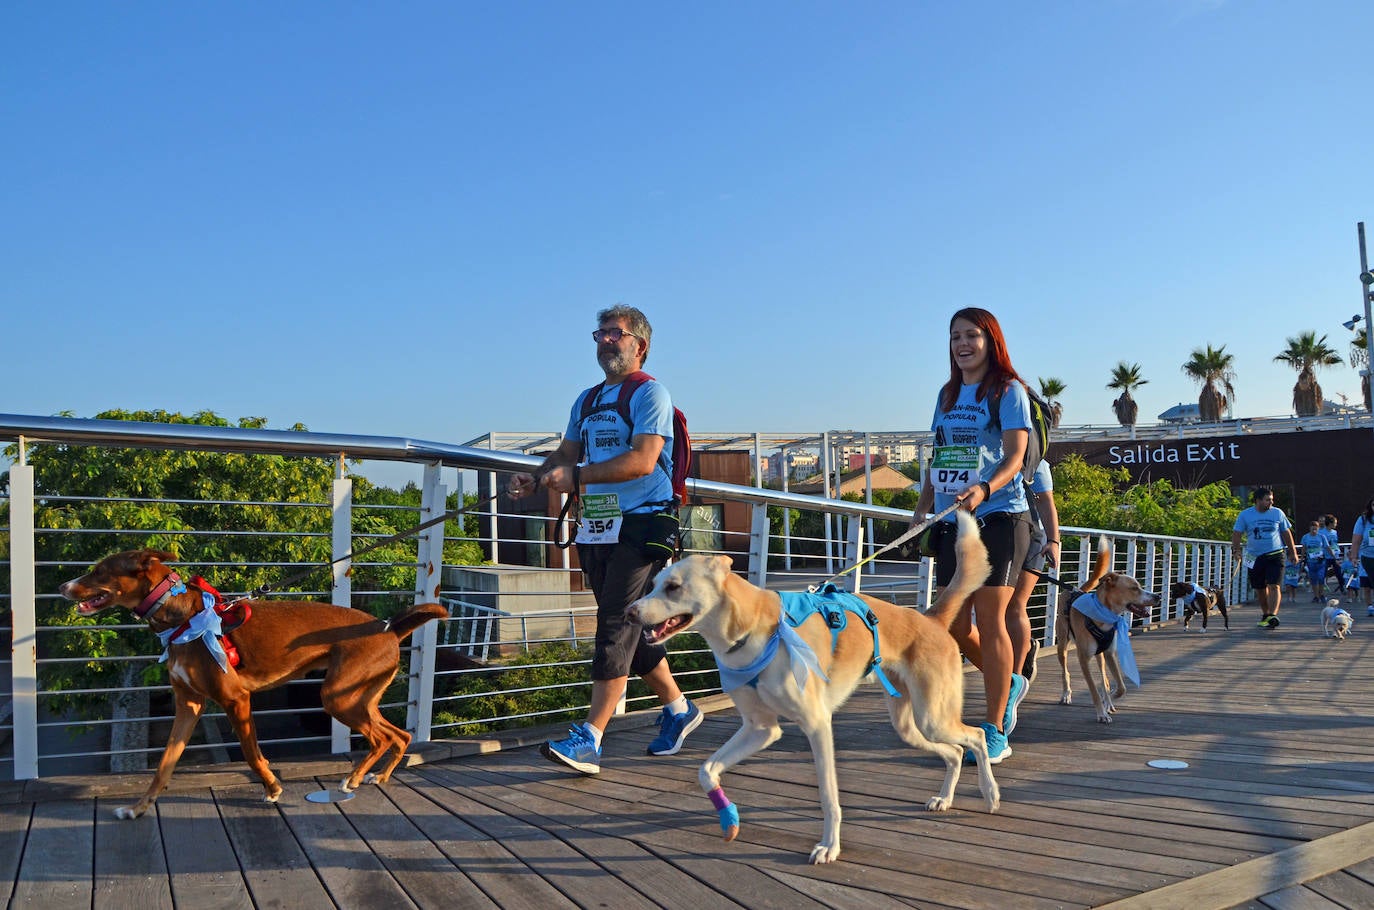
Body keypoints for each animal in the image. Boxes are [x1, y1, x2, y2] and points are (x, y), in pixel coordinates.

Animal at [59, 552, 445, 824]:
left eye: (99, 571)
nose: (63, 586)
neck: (181, 616)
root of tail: (390, 629)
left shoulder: (237, 700)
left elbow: (249, 752)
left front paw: (272, 787)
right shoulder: (188, 705)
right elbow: (165, 764)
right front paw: (137, 808)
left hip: (337, 697)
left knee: (380, 738)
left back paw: (353, 778)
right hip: (358, 698)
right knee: (399, 735)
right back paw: (377, 777)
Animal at [626, 508, 1000, 868]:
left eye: (673, 586)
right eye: (654, 584)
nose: (629, 612)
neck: (752, 630)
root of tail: (930, 617)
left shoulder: (817, 725)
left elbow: (828, 796)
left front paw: (829, 847)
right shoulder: (761, 729)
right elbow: (706, 770)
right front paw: (728, 816)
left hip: (932, 717)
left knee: (977, 736)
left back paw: (991, 793)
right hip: (911, 726)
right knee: (954, 753)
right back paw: (945, 798)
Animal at [1060, 541, 1159, 725]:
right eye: (1134, 588)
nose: (1157, 597)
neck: (1103, 615)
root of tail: (1075, 590)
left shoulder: (1110, 653)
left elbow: (1121, 687)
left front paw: (1109, 699)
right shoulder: (1083, 659)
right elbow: (1093, 689)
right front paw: (1101, 712)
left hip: (1100, 656)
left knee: (1104, 677)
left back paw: (1107, 698)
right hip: (1062, 644)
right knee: (1065, 671)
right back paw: (1066, 694)